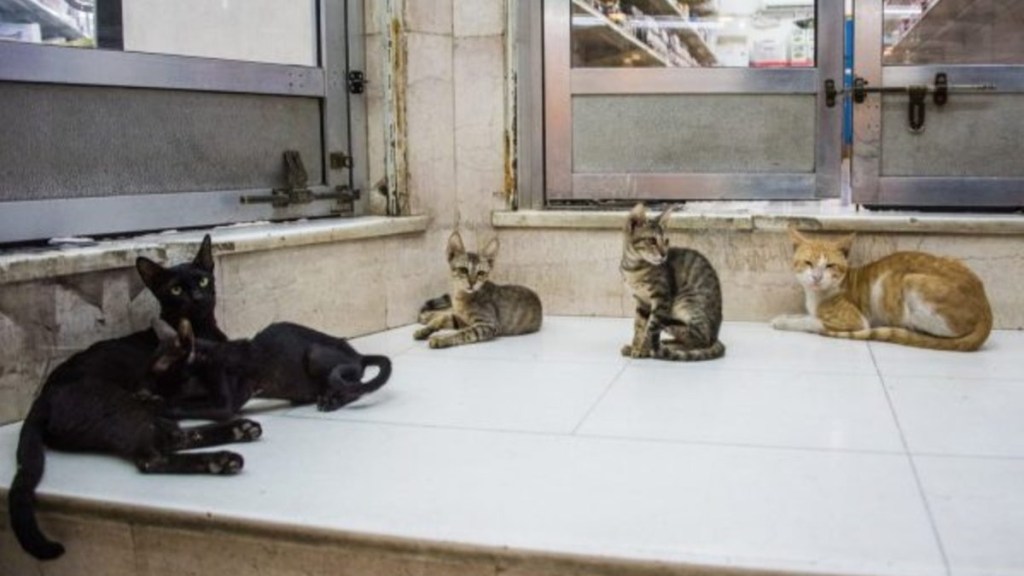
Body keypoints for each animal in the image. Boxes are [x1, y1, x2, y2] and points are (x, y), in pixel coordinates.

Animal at [8, 234, 256, 561]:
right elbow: (222, 392)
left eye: (203, 280)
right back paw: (220, 458)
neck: (202, 330)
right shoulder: (198, 391)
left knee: (173, 438)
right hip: (120, 406)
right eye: (176, 289)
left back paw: (238, 433)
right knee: (152, 457)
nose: (197, 297)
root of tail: (41, 399)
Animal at [159, 319, 391, 420]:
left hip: (315, 354)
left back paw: (330, 401)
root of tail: (359, 356)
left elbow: (187, 408)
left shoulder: (225, 403)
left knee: (356, 389)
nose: (152, 392)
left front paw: (164, 410)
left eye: (161, 370)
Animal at [413, 230, 544, 348]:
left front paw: (441, 339)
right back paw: (427, 316)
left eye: (480, 273)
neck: (460, 298)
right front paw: (424, 330)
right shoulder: (460, 319)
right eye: (463, 270)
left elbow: (461, 334)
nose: (472, 282)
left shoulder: (487, 325)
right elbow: (440, 320)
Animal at [618, 202, 724, 358]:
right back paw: (666, 343)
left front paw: (643, 349)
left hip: (686, 303)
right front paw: (634, 347)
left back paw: (666, 338)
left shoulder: (662, 298)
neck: (633, 268)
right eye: (652, 240)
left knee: (701, 338)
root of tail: (716, 335)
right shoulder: (642, 301)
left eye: (666, 241)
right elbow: (639, 327)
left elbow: (650, 328)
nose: (664, 254)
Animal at [774, 228, 991, 350]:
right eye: (808, 263)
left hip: (910, 281)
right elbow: (802, 314)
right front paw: (784, 316)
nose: (817, 277)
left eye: (830, 266)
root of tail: (986, 309)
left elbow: (810, 320)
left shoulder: (856, 321)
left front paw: (783, 322)